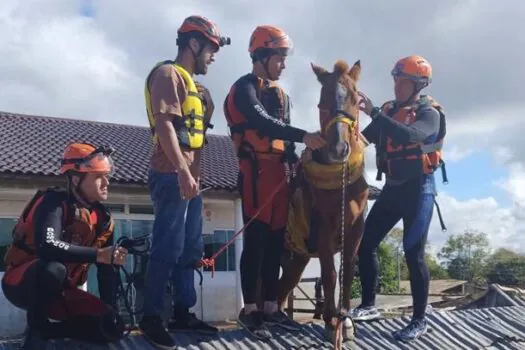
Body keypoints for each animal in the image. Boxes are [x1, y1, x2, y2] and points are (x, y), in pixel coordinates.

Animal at [276, 59, 366, 344]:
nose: (339, 149)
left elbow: (348, 271)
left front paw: (345, 321)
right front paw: (330, 322)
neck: (340, 183)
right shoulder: (324, 228)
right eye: (321, 100)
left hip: (297, 259)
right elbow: (330, 274)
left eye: (356, 98)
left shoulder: (356, 229)